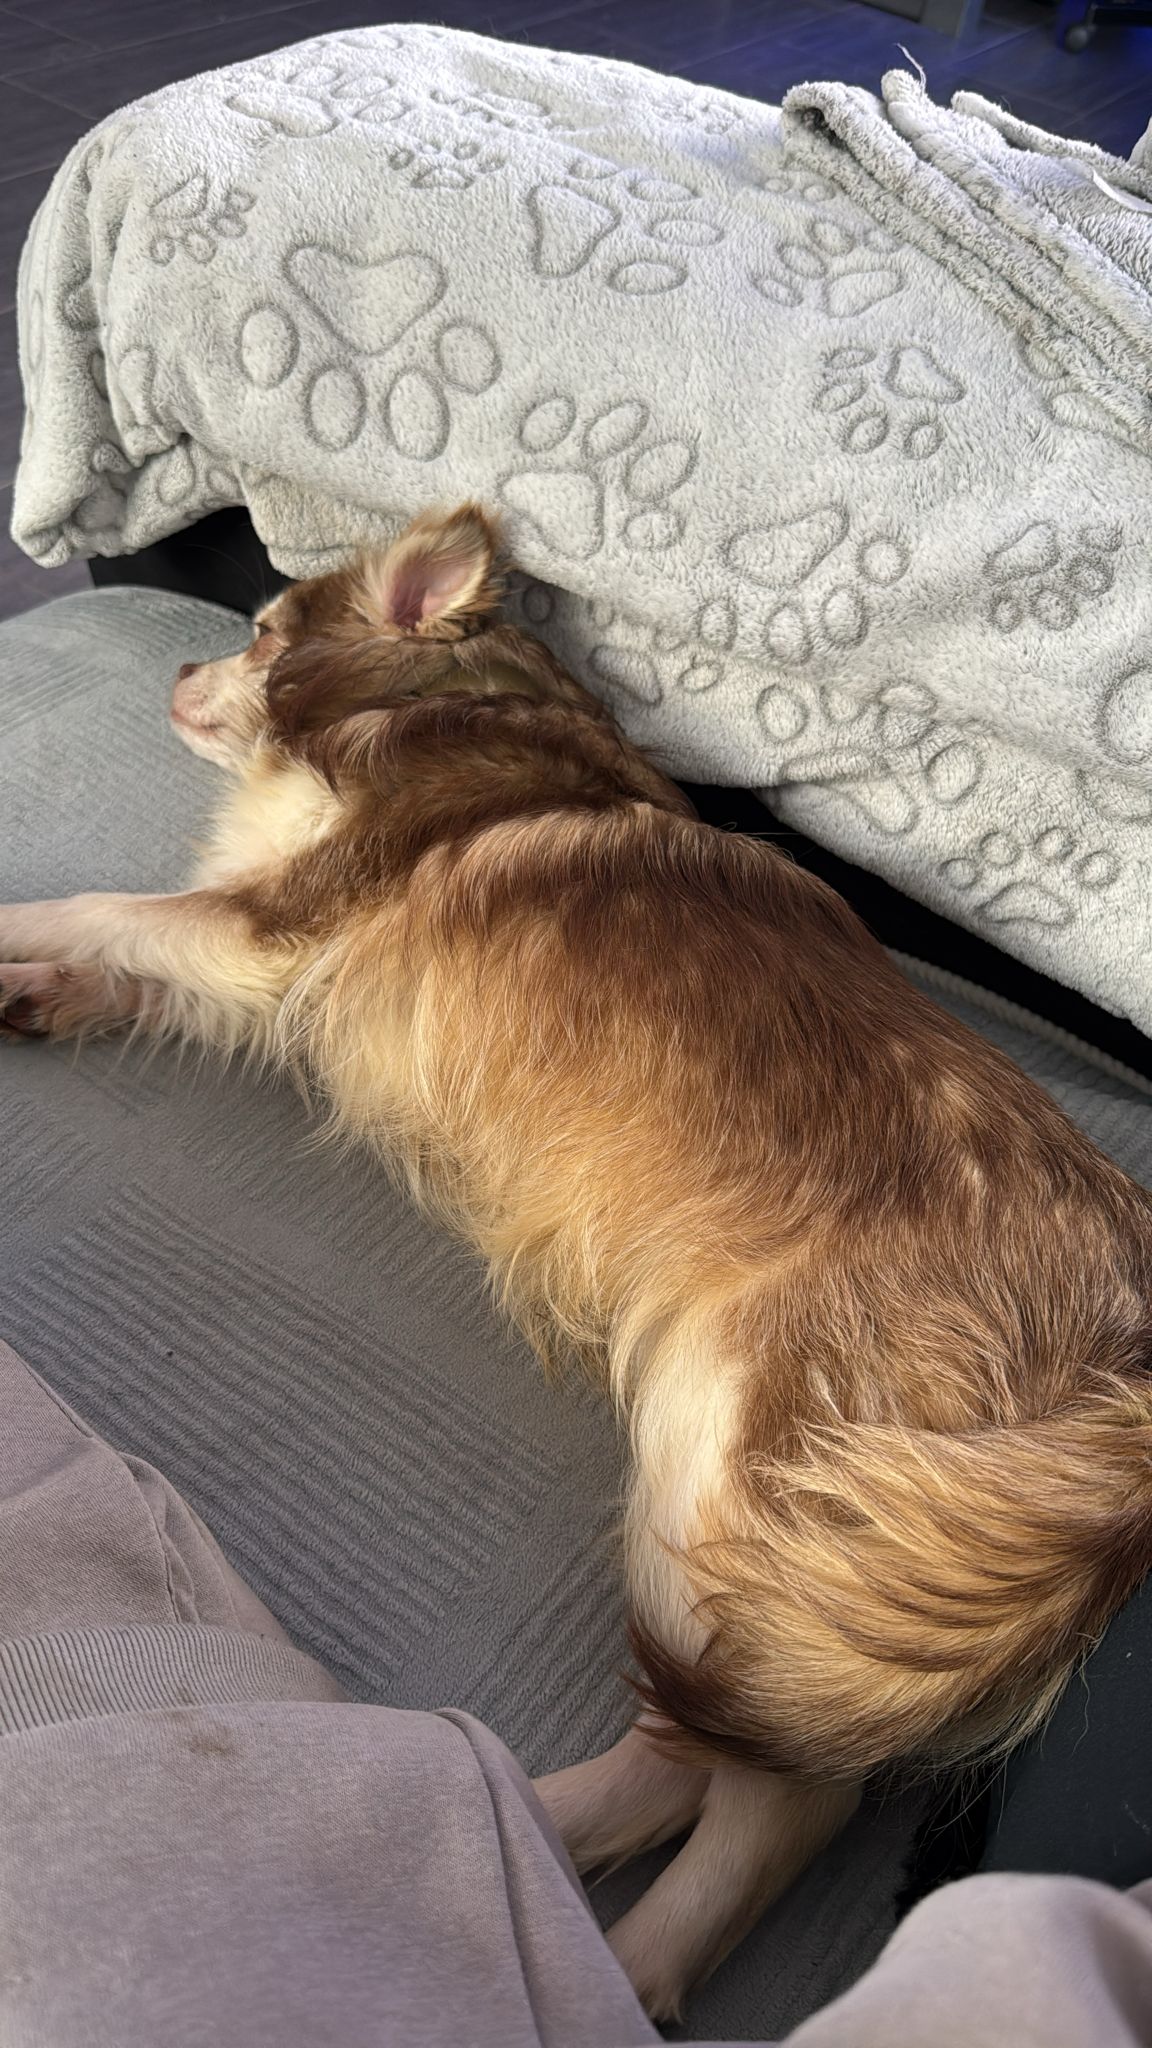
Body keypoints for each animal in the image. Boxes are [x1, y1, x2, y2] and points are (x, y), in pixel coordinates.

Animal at [4, 504, 1152, 2018]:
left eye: (256, 632)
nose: (185, 666)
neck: (435, 700)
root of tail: (1119, 1386)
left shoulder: (276, 924)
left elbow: (100, 902)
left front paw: (13, 942)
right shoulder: (259, 968)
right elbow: (125, 953)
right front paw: (44, 992)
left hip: (721, 1462)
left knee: (768, 1787)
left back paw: (560, 1883)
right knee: (702, 1758)